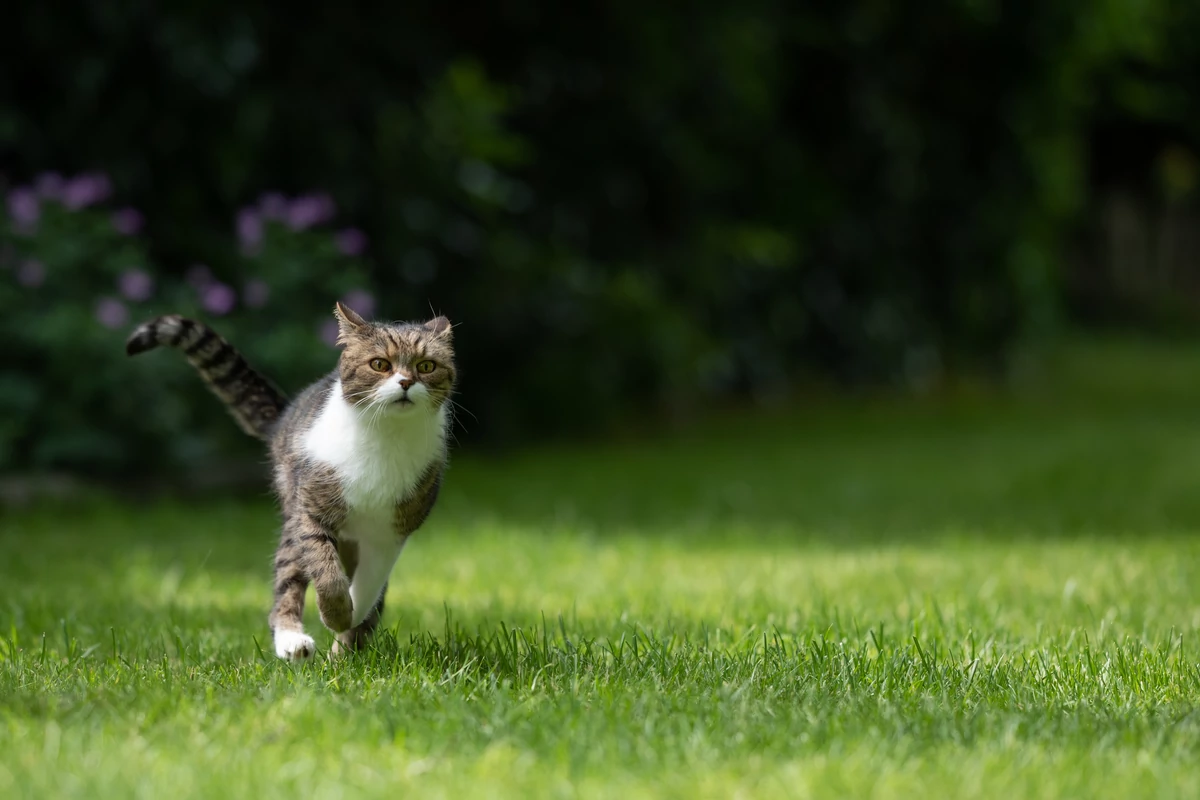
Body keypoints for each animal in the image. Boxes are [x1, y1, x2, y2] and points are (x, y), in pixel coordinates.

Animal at [125, 303, 453, 662]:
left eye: (426, 366)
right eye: (380, 364)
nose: (406, 381)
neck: (386, 437)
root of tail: (284, 418)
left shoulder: (392, 531)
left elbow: (370, 582)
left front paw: (349, 617)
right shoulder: (309, 509)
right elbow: (326, 572)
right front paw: (336, 613)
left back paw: (344, 654)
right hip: (293, 517)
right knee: (287, 583)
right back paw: (293, 642)